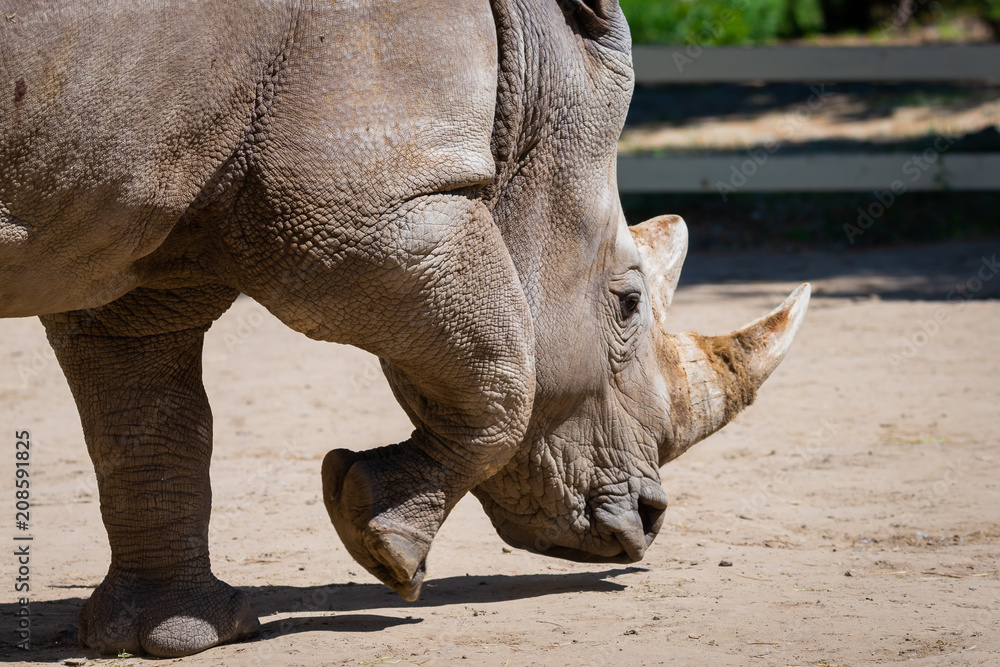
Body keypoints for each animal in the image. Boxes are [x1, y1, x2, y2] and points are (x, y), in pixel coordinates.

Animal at [0, 0, 809, 658]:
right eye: (628, 304)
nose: (645, 523)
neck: (528, 89)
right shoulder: (363, 206)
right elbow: (506, 371)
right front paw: (380, 544)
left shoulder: (138, 228)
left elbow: (148, 411)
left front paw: (173, 637)